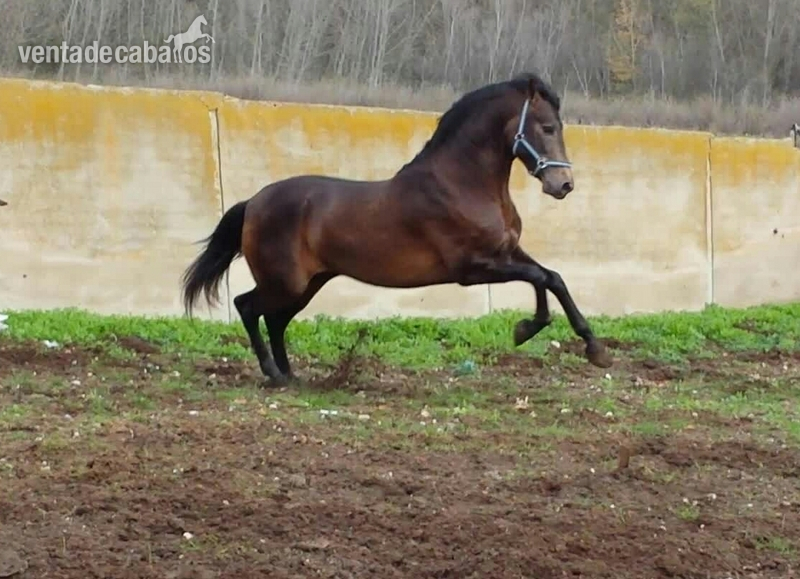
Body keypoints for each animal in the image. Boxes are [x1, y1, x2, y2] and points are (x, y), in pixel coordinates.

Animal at [181, 72, 614, 386]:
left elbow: (552, 277)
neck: (462, 184)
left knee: (275, 319)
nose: (563, 185)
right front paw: (534, 331)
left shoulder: (507, 253)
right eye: (547, 127)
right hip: (284, 281)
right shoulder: (474, 268)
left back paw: (290, 375)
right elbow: (542, 278)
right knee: (248, 306)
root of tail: (253, 202)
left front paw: (585, 346)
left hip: (307, 283)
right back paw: (273, 374)